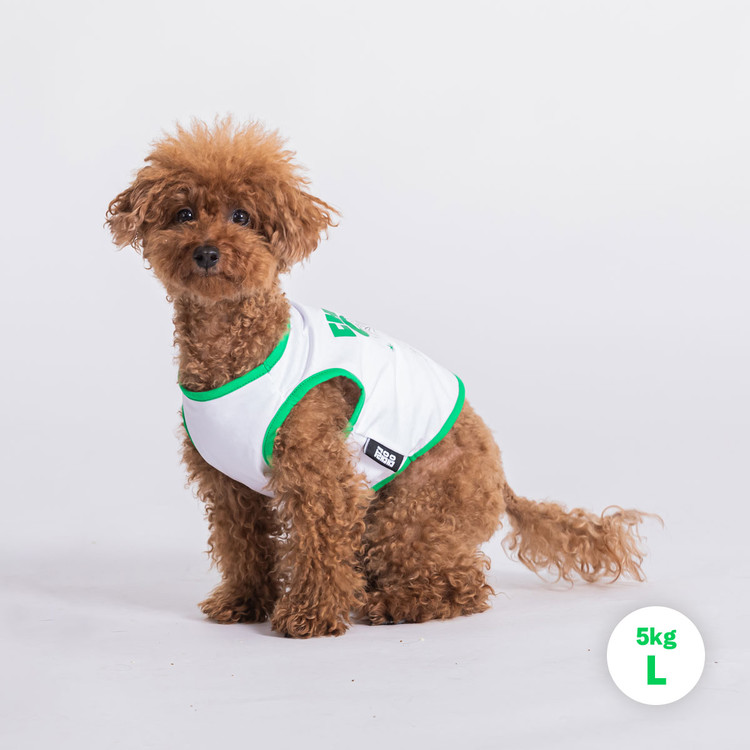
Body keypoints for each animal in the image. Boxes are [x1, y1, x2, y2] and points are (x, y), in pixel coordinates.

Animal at [106, 118, 651, 638]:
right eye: (184, 214)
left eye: (241, 216)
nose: (206, 252)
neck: (236, 348)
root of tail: (501, 479)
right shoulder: (227, 486)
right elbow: (242, 545)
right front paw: (245, 601)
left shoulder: (319, 475)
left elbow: (320, 544)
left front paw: (310, 615)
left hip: (411, 513)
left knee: (462, 584)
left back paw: (394, 604)